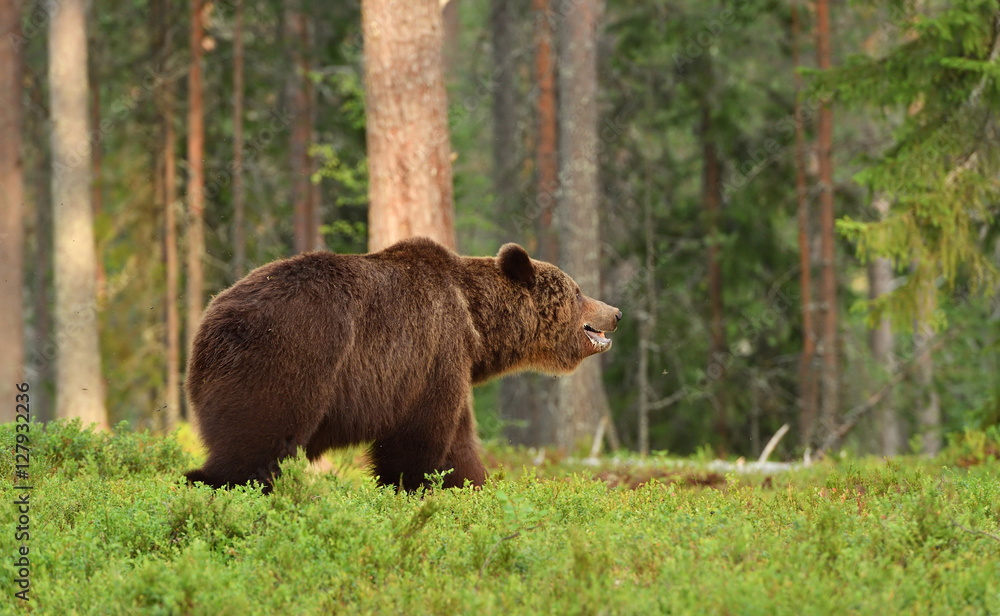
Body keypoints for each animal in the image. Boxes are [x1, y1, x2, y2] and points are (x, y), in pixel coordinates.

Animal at [184, 237, 621, 492]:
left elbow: (458, 444)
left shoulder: (450, 364)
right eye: (578, 291)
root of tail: (211, 320)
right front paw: (413, 488)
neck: (477, 324)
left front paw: (472, 487)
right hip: (288, 360)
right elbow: (417, 440)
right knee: (256, 449)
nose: (615, 312)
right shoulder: (431, 355)